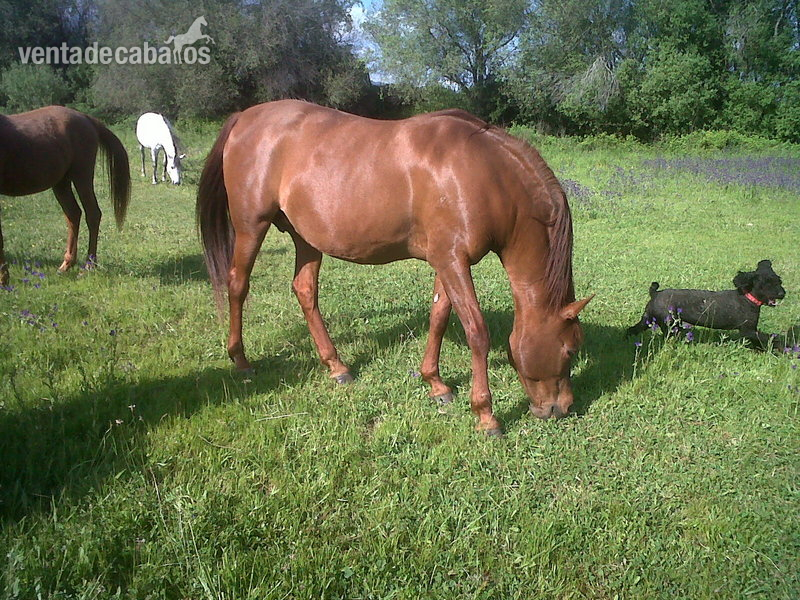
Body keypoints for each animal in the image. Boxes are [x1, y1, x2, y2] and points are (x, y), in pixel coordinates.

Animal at [0, 106, 130, 286]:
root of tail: (86, 118)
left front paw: (4, 279)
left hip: (81, 176)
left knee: (92, 214)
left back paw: (89, 266)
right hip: (61, 183)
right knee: (73, 214)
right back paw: (66, 265)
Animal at [196, 100, 592, 435]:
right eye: (571, 350)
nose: (561, 408)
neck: (483, 176)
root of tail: (245, 117)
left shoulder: (446, 260)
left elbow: (439, 316)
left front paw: (435, 383)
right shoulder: (453, 261)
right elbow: (476, 332)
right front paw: (485, 415)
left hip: (305, 237)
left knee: (305, 290)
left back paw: (336, 366)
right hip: (251, 227)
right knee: (238, 284)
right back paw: (241, 359)